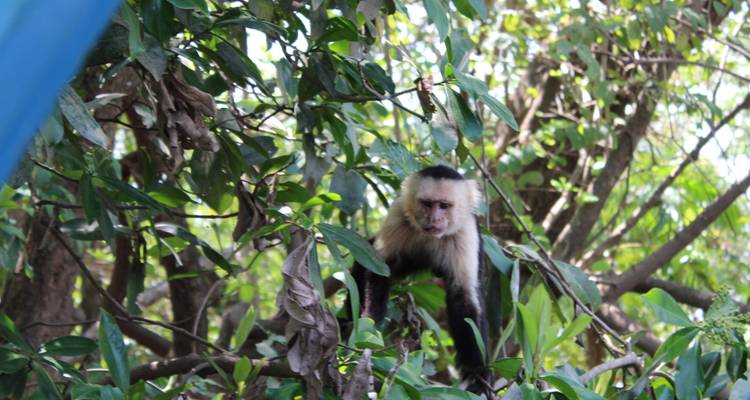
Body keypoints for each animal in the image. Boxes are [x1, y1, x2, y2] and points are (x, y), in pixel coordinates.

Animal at [350, 165, 490, 394]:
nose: (434, 219)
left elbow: (463, 297)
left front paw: (476, 372)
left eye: (444, 206)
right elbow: (380, 269)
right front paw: (370, 326)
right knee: (366, 255)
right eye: (427, 204)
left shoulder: (464, 231)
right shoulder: (398, 214)